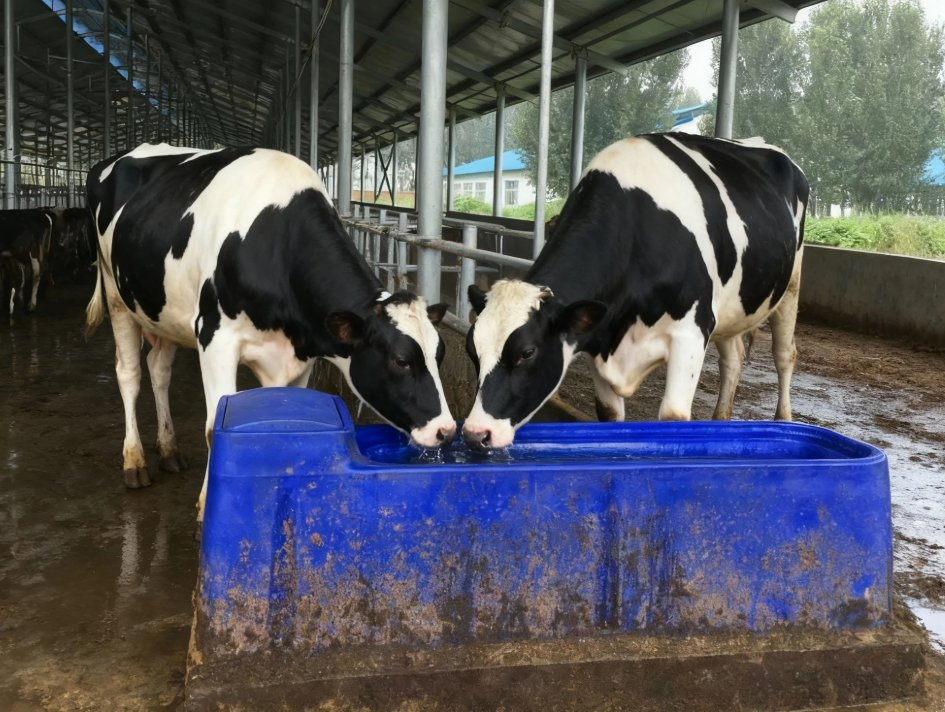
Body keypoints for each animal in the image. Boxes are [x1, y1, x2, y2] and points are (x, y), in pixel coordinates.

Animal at [85, 143, 456, 519]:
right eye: (401, 360)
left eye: (440, 354)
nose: (446, 430)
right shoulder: (214, 337)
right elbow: (213, 428)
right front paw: (207, 506)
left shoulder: (300, 354)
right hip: (116, 294)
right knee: (129, 374)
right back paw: (134, 461)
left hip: (163, 310)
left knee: (159, 369)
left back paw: (169, 450)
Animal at [462, 132, 808, 451]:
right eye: (472, 351)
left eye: (527, 352)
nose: (476, 433)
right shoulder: (599, 338)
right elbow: (610, 416)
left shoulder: (691, 331)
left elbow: (673, 417)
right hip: (732, 308)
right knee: (732, 359)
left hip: (791, 282)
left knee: (784, 355)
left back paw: (784, 420)